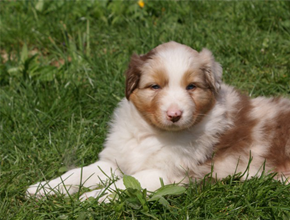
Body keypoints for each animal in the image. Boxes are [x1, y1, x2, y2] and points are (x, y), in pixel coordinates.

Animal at [27, 41, 290, 201]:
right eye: (155, 86)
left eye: (191, 87)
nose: (175, 114)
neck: (152, 134)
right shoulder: (115, 161)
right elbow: (79, 173)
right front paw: (43, 188)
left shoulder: (168, 173)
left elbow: (123, 183)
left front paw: (91, 198)